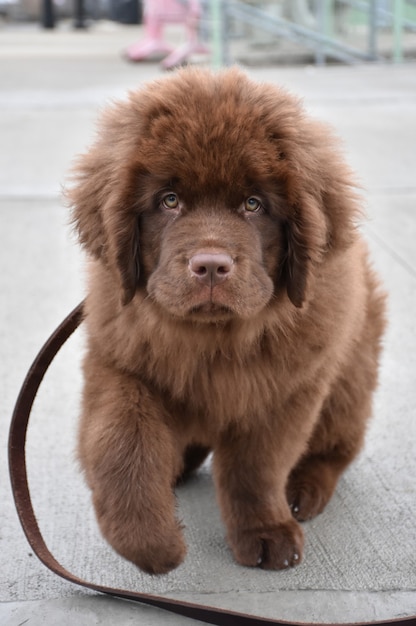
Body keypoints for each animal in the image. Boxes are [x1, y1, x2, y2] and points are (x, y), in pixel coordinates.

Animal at [67, 66, 384, 572]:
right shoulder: (120, 363)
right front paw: (149, 541)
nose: (212, 266)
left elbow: (256, 467)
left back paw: (305, 490)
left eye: (253, 204)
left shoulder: (285, 388)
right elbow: (121, 444)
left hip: (349, 377)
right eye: (169, 200)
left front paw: (265, 531)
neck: (214, 340)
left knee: (336, 446)